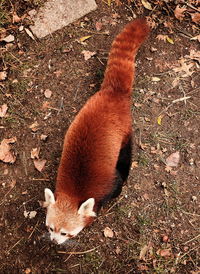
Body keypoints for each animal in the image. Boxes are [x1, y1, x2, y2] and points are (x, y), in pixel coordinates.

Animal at [44, 18, 150, 243]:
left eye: (65, 232)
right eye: (50, 228)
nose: (54, 241)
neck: (73, 194)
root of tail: (112, 93)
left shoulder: (105, 188)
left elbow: (115, 187)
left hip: (125, 130)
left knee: (125, 156)